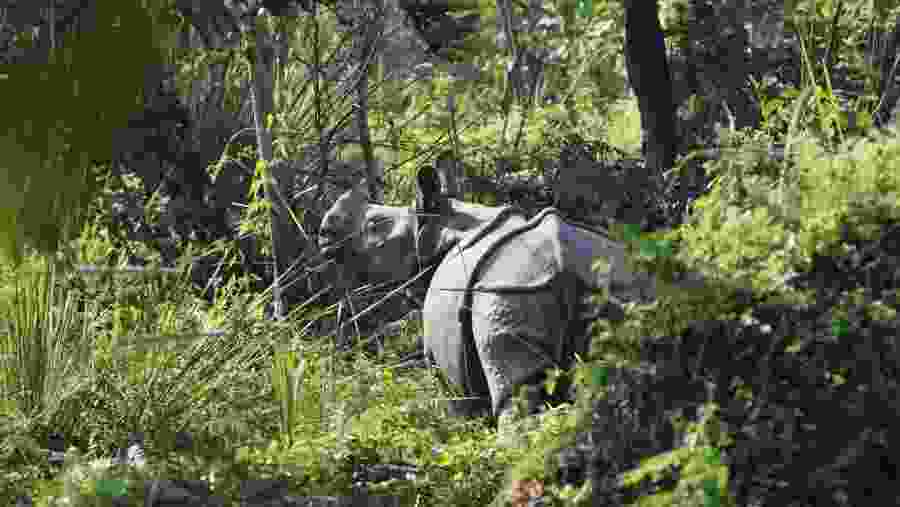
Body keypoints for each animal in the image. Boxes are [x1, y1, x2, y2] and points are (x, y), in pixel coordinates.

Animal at [318, 166, 701, 427]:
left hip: (509, 292)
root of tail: (564, 266)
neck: (440, 226)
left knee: (514, 391)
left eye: (374, 227)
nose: (324, 235)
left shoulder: (442, 364)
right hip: (623, 290)